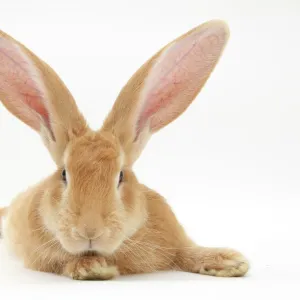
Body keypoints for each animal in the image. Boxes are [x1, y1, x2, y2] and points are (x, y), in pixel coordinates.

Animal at [0, 19, 248, 280]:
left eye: (120, 176)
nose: (90, 231)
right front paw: (93, 267)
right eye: (64, 174)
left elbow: (188, 250)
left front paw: (230, 261)